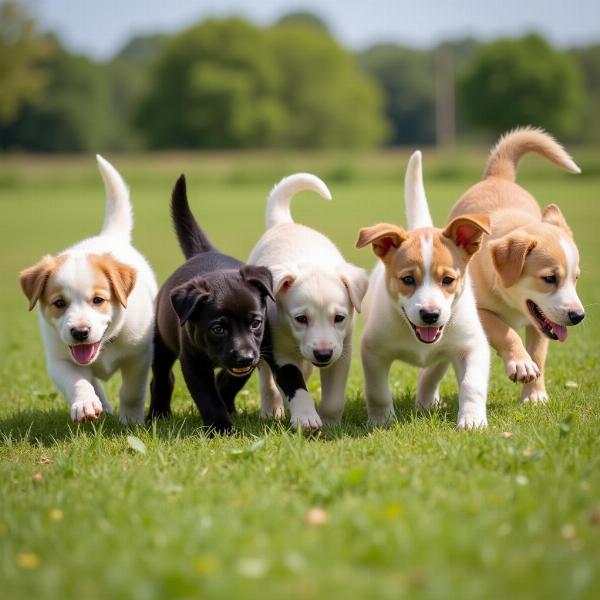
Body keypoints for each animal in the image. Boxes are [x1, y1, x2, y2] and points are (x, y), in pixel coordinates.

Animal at [19, 157, 157, 424]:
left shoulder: (139, 355)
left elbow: (131, 391)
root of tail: (107, 236)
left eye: (98, 300)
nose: (80, 332)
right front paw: (85, 404)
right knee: (93, 381)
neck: (105, 346)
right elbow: (78, 382)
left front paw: (131, 419)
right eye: (59, 303)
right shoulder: (60, 360)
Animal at [148, 176, 274, 434]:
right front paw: (221, 427)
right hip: (161, 342)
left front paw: (227, 409)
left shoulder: (257, 350)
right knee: (162, 379)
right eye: (217, 329)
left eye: (256, 323)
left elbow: (229, 381)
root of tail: (203, 252)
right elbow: (207, 397)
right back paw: (157, 414)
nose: (245, 357)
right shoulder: (193, 362)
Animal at [246, 173, 368, 432]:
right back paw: (271, 409)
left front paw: (330, 422)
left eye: (339, 318)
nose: (322, 353)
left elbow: (333, 397)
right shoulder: (281, 353)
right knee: (267, 379)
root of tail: (284, 223)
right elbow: (294, 385)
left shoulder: (342, 351)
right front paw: (305, 418)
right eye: (300, 319)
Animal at [356, 152, 492, 428]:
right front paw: (382, 421)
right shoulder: (373, 351)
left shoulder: (472, 347)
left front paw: (472, 421)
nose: (430, 315)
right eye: (408, 279)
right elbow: (377, 392)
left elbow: (472, 385)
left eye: (448, 280)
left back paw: (428, 402)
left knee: (432, 373)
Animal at [452, 129, 584, 406]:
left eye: (575, 279)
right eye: (549, 278)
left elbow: (539, 354)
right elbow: (504, 331)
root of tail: (497, 176)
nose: (578, 316)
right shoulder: (479, 310)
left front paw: (535, 395)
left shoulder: (542, 321)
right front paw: (521, 364)